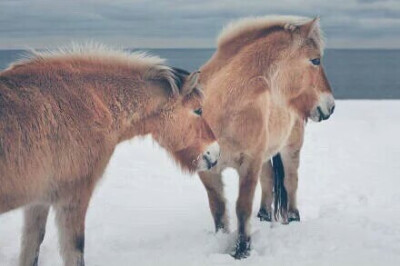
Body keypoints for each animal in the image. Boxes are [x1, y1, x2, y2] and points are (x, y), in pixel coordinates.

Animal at [0, 44, 220, 266]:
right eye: (198, 110)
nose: (215, 152)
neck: (88, 102)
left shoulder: (38, 201)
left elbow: (31, 246)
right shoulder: (73, 197)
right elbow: (74, 251)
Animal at [197, 15, 334, 258]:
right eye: (315, 60)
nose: (331, 106)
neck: (221, 108)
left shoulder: (249, 164)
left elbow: (242, 207)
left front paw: (242, 250)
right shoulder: (208, 171)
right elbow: (218, 209)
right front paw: (222, 242)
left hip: (290, 150)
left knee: (291, 182)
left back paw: (293, 219)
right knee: (268, 179)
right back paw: (263, 215)